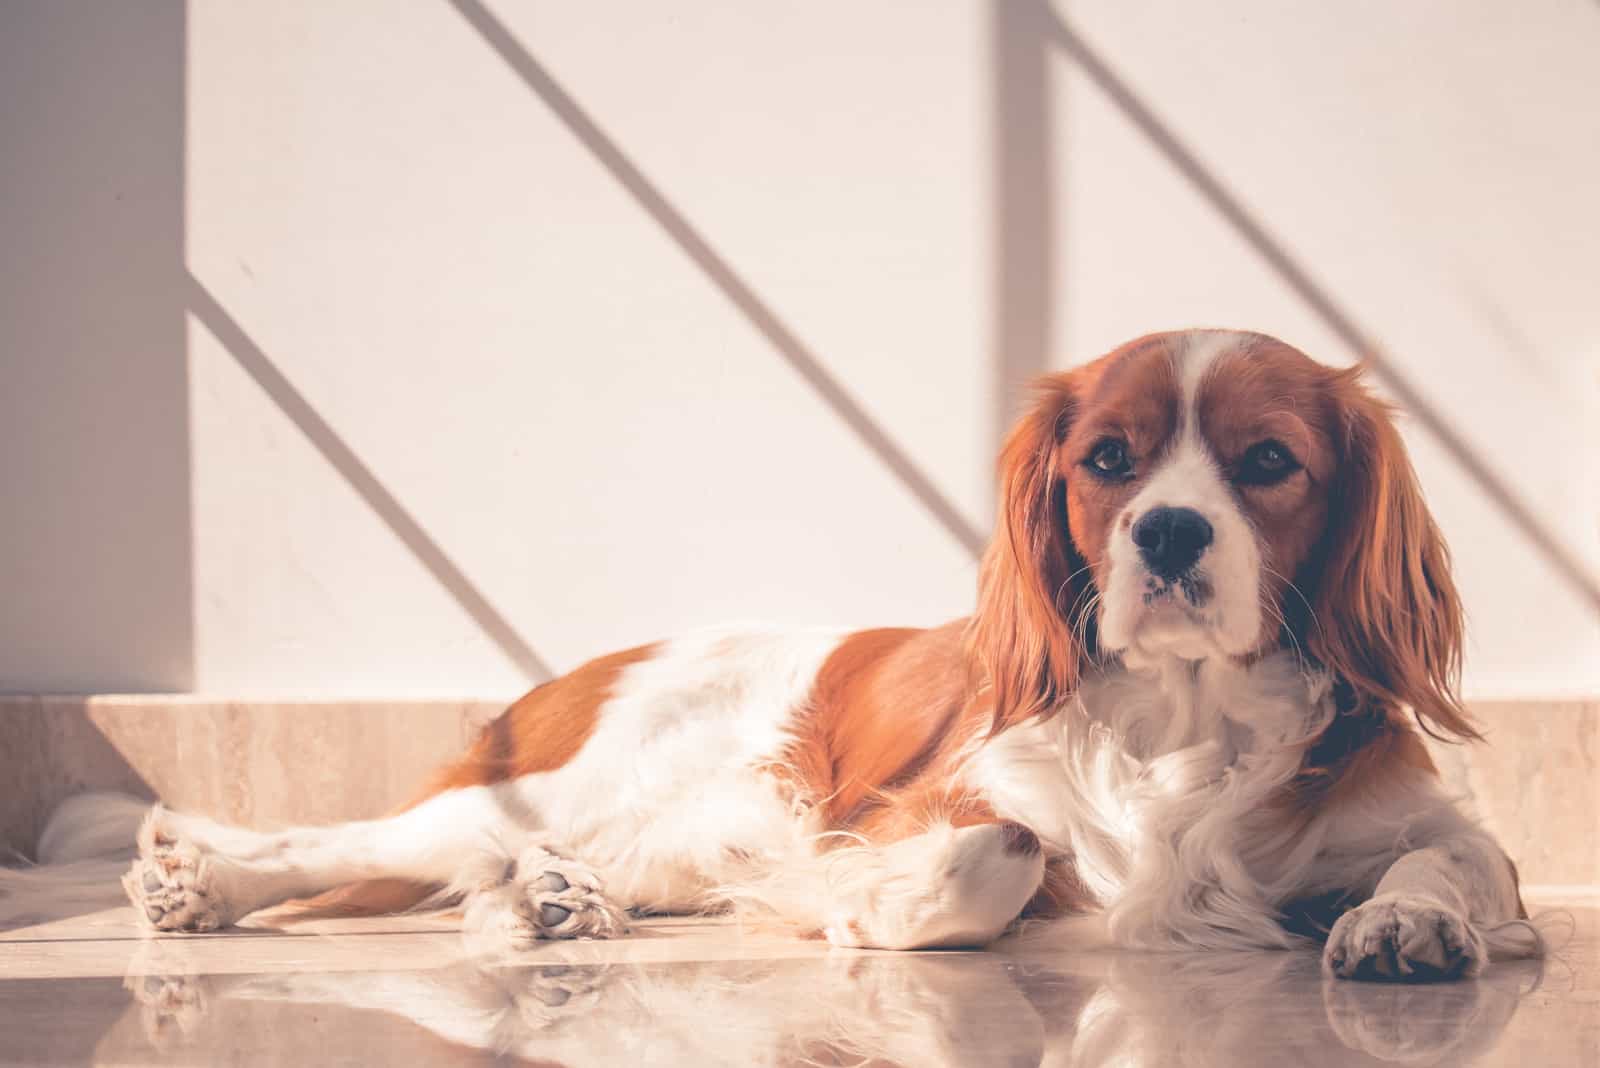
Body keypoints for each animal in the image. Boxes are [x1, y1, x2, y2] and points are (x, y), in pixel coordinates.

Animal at [31, 326, 1548, 978]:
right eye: (1110, 460)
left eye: (1268, 462)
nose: (1169, 532)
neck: (1179, 725)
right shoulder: (925, 805)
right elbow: (986, 858)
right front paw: (872, 909)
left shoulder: (1436, 830)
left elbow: (1451, 863)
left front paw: (1405, 922)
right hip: (544, 787)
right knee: (336, 847)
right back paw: (196, 886)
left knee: (509, 881)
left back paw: (560, 902)